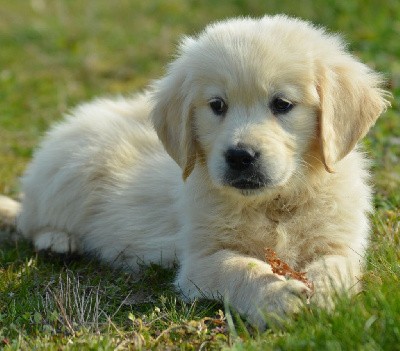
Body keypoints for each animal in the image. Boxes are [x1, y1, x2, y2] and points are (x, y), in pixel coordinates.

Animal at [0, 15, 390, 328]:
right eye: (217, 105)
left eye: (282, 104)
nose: (240, 156)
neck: (273, 203)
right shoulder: (200, 261)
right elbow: (240, 269)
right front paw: (276, 298)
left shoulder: (341, 241)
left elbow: (336, 266)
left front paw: (326, 296)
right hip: (69, 172)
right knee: (30, 220)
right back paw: (57, 241)